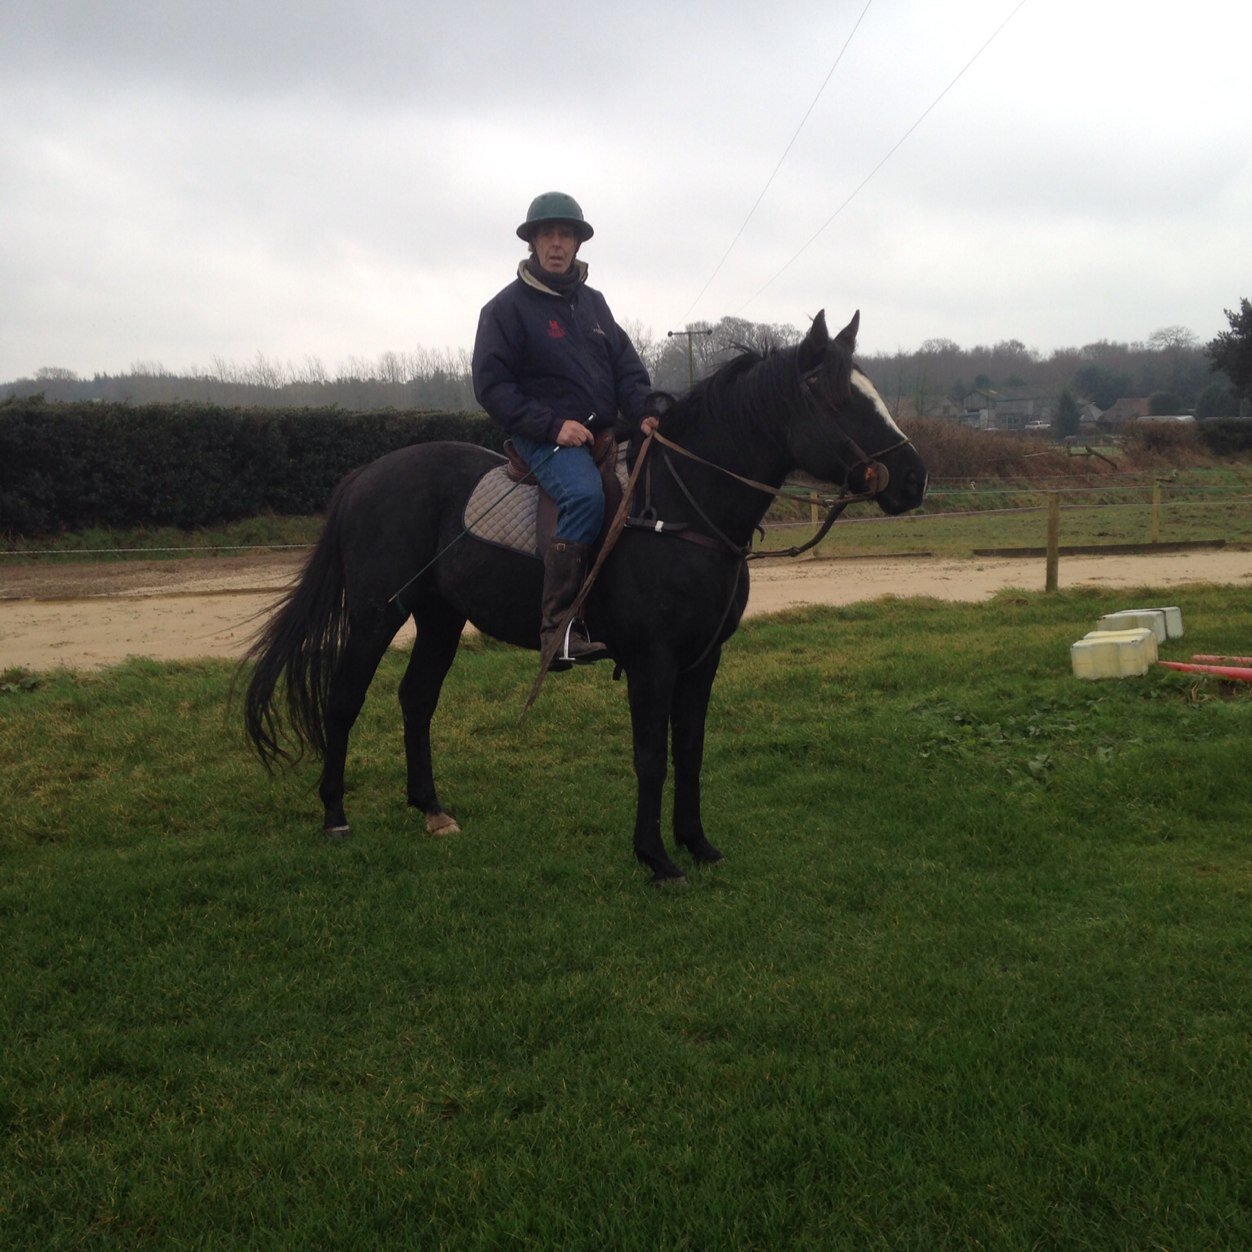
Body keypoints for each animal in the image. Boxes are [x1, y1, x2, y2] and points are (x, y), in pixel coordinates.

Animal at [246, 311, 931, 881]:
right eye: (838, 397)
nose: (915, 478)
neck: (678, 509)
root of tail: (366, 474)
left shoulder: (702, 660)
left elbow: (690, 750)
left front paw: (696, 843)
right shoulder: (653, 661)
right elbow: (652, 755)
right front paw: (656, 858)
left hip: (440, 617)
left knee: (416, 700)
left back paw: (432, 809)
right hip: (375, 614)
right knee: (343, 701)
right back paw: (335, 815)